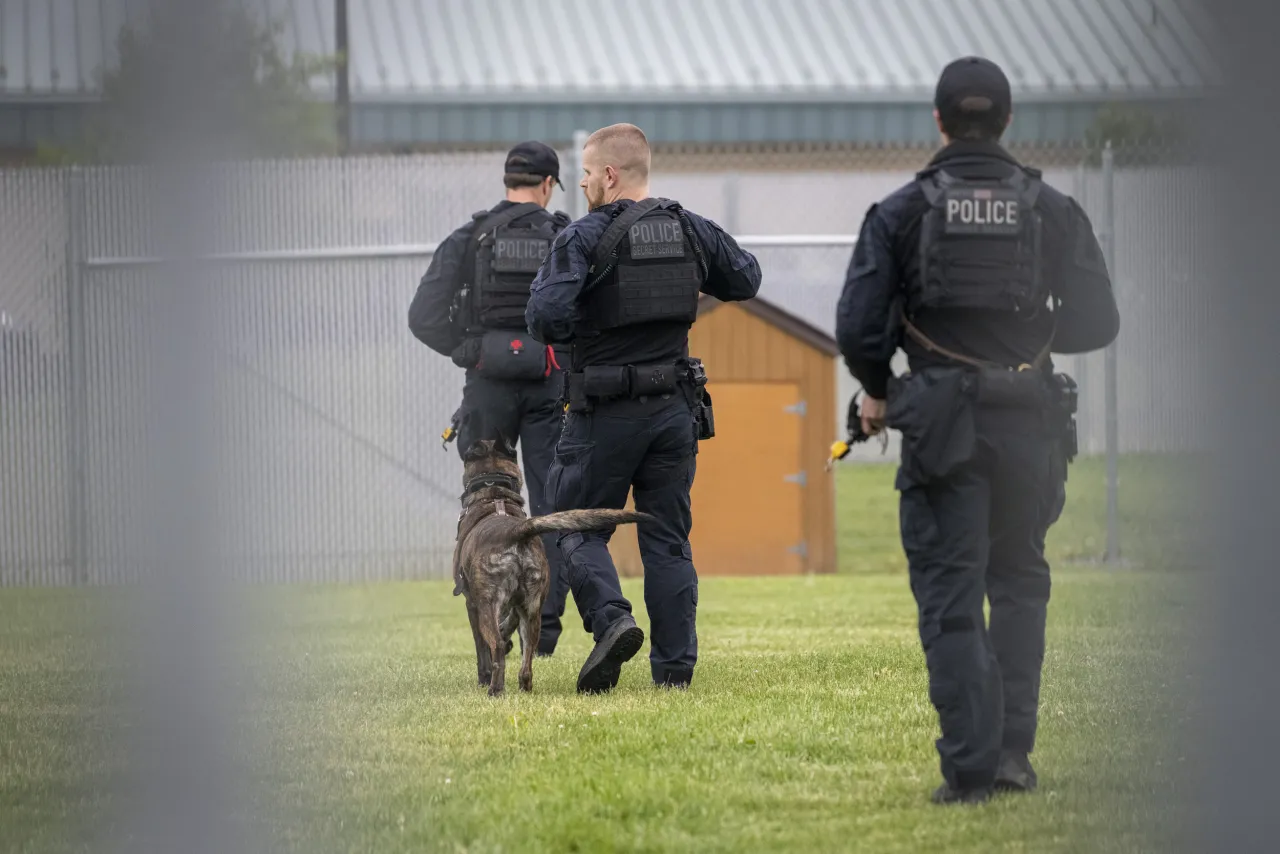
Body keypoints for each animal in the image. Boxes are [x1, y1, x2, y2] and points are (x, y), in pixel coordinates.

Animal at [450, 440, 650, 696]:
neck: (495, 496)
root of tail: (516, 532)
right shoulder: (518, 606)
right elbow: (509, 625)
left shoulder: (472, 605)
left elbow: (482, 650)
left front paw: (483, 677)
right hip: (533, 614)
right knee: (527, 661)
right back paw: (524, 687)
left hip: (488, 606)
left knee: (496, 650)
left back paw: (495, 689)